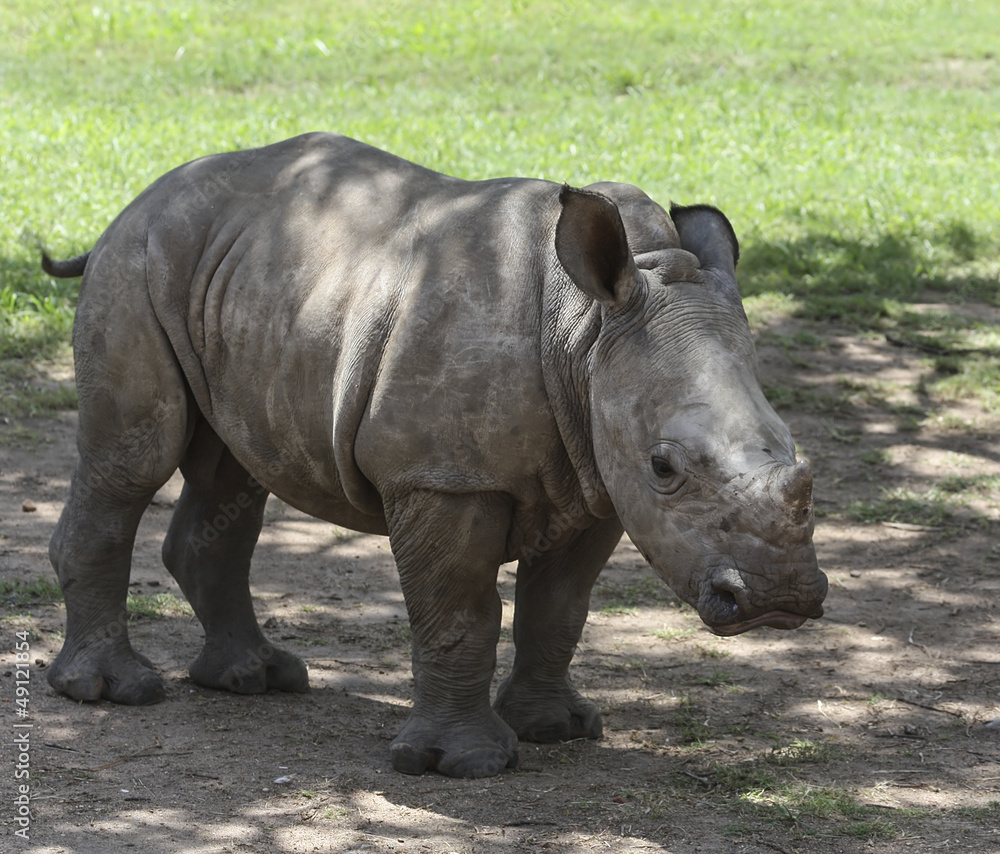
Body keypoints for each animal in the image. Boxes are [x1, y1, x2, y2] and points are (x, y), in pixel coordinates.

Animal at [42, 132, 827, 778]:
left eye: (796, 451)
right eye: (666, 467)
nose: (779, 598)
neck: (587, 329)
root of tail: (140, 198)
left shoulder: (602, 472)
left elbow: (560, 606)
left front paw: (557, 729)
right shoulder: (444, 477)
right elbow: (459, 610)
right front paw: (465, 764)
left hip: (242, 284)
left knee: (233, 471)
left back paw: (255, 679)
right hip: (138, 263)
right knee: (134, 459)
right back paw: (113, 692)